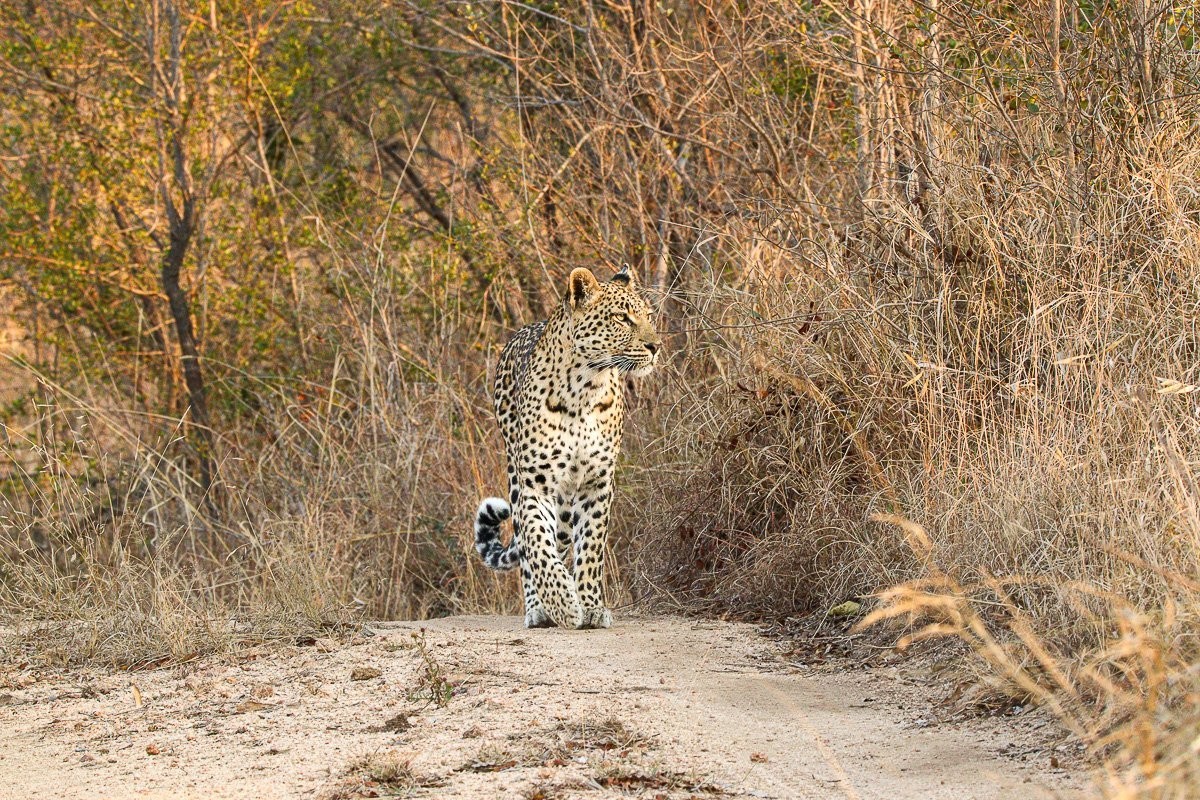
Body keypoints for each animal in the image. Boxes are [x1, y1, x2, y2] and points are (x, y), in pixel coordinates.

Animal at [473, 265, 662, 629]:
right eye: (622, 318)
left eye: (648, 316)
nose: (656, 346)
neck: (585, 389)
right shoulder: (536, 483)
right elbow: (537, 543)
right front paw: (562, 602)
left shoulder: (597, 482)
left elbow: (590, 548)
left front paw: (590, 606)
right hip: (516, 472)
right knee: (528, 546)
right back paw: (538, 609)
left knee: (560, 536)